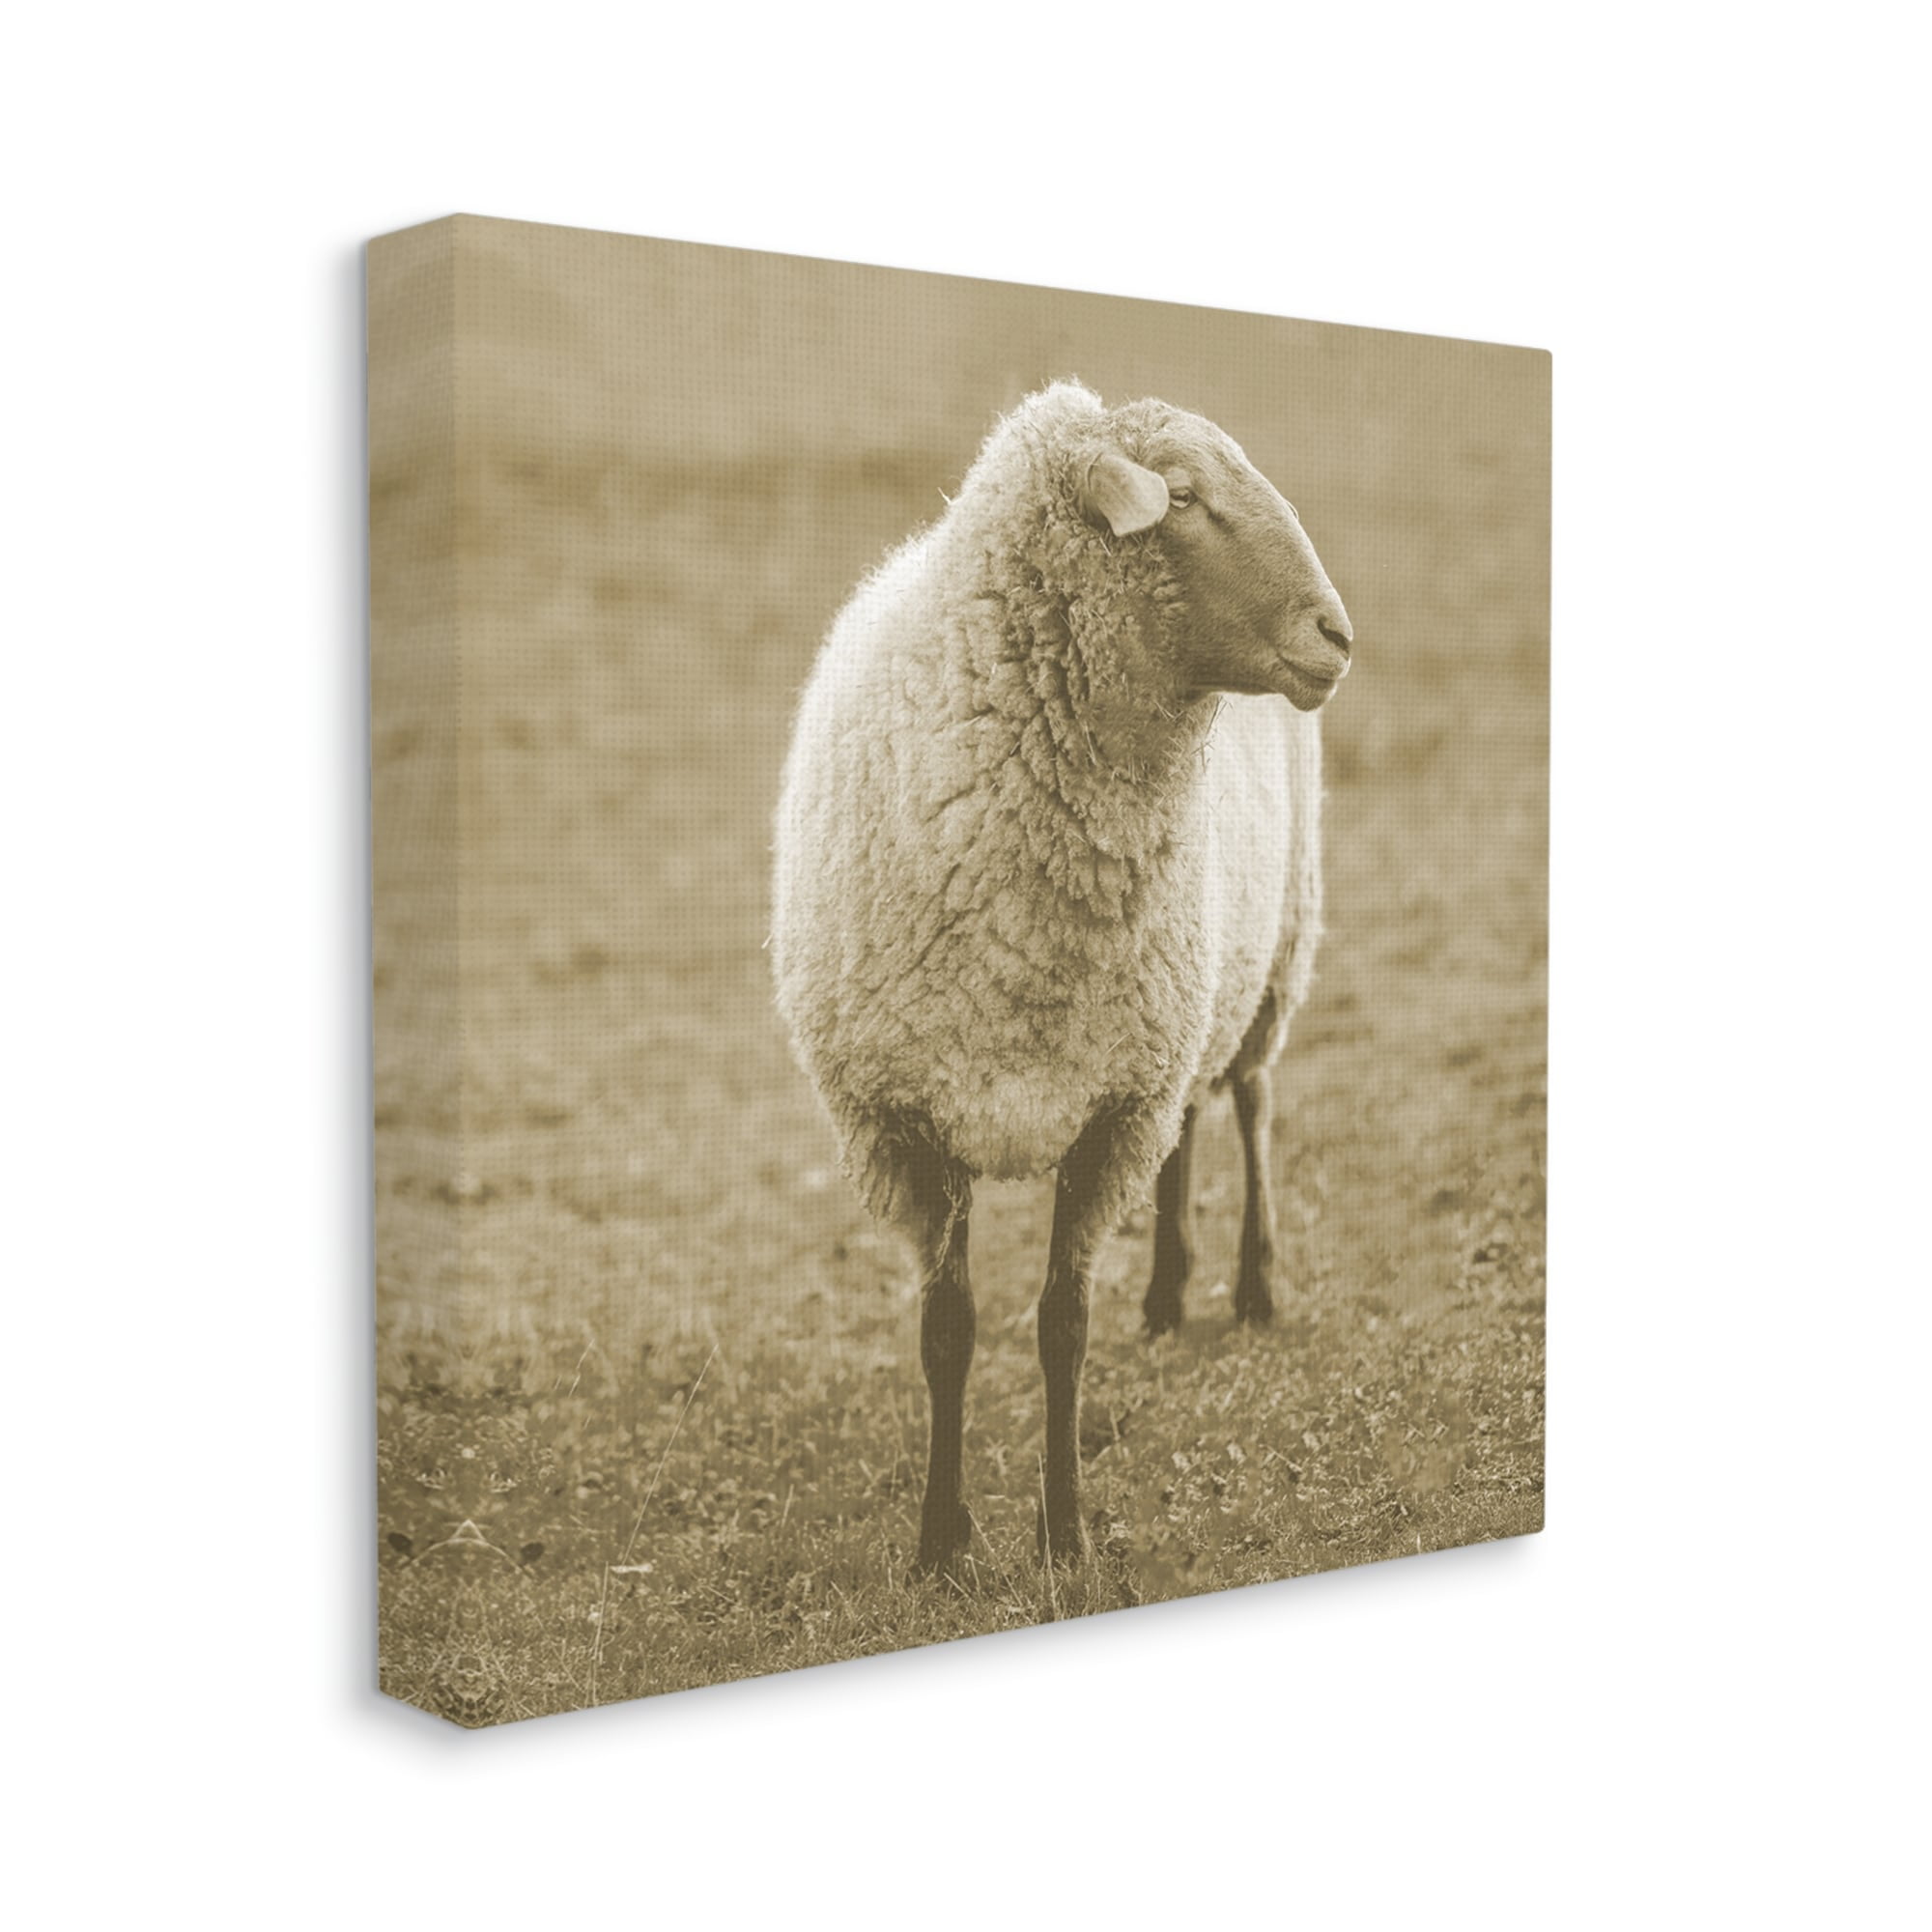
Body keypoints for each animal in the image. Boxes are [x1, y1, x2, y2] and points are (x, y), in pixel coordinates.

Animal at [771, 379, 1353, 1570]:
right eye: (1181, 495)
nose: (1339, 635)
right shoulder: (910, 1120)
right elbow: (947, 1332)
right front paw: (941, 1543)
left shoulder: (1108, 1114)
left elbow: (1060, 1327)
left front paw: (1065, 1534)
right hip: (1186, 1001)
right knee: (1194, 1119)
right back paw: (1169, 1293)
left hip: (1273, 951)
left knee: (1250, 1099)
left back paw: (1252, 1281)